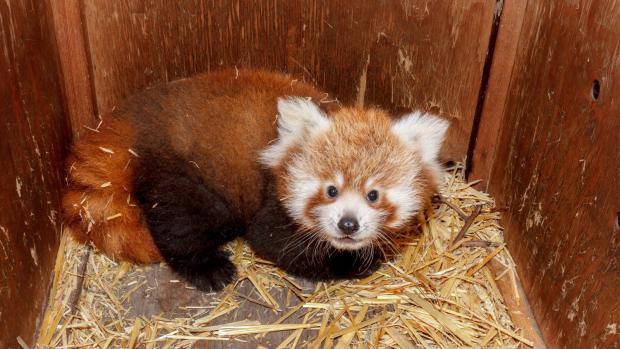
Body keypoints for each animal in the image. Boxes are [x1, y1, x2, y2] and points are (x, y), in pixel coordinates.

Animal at [61, 68, 446, 290]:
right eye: (331, 190)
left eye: (373, 195)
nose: (348, 224)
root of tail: (131, 120)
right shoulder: (271, 201)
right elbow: (275, 241)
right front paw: (350, 264)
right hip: (182, 174)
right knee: (181, 225)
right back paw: (209, 269)